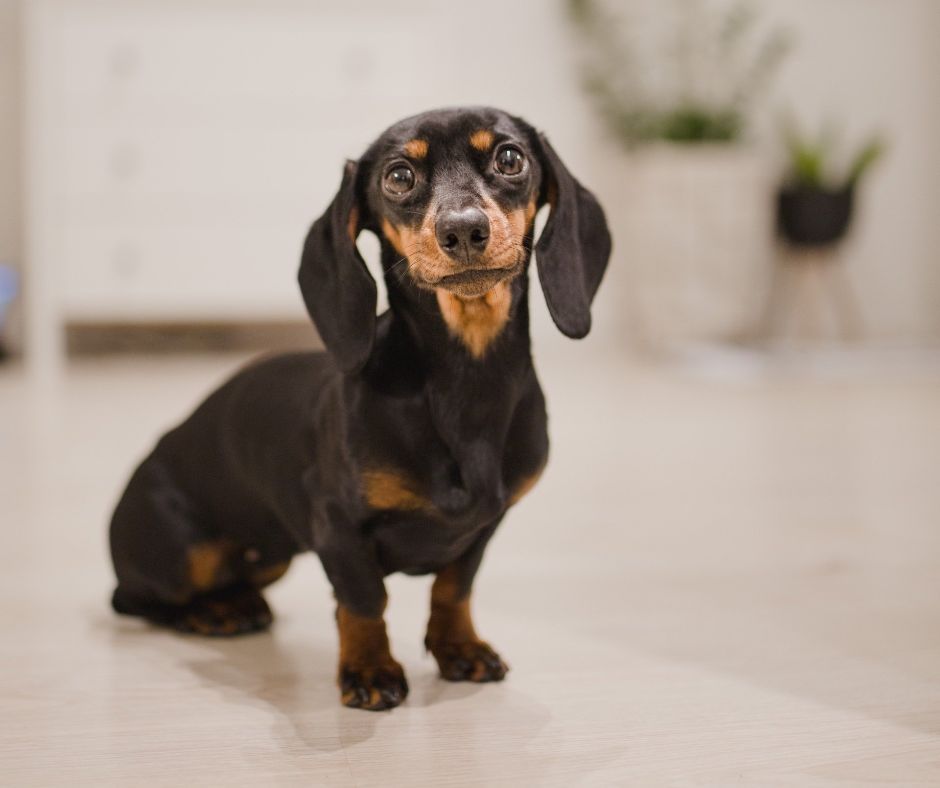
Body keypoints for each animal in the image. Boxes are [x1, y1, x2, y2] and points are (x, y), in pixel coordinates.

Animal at [108, 107, 608, 712]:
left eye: (510, 158)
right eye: (399, 176)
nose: (464, 230)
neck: (466, 382)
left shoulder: (485, 524)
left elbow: (454, 588)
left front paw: (459, 648)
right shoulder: (336, 526)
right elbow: (364, 602)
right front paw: (370, 670)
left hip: (271, 556)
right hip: (183, 553)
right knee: (137, 598)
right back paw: (213, 613)